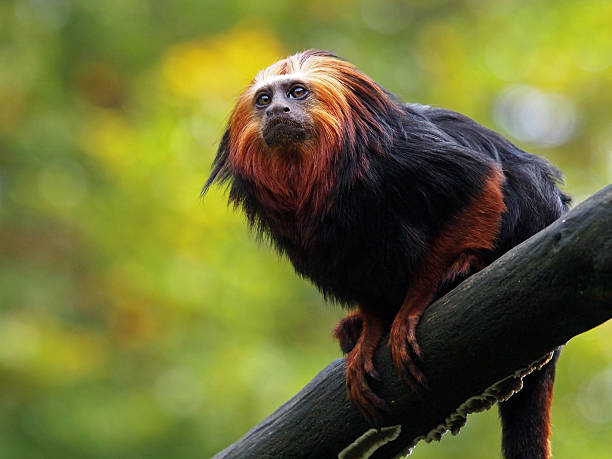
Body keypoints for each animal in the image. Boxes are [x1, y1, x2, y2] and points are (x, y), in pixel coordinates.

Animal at [203, 50, 572, 459]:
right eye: (264, 99)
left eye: (297, 92)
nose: (277, 110)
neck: (320, 168)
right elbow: (353, 269)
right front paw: (371, 328)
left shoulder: (400, 156)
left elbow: (481, 181)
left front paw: (415, 302)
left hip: (536, 209)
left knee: (523, 180)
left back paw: (461, 272)